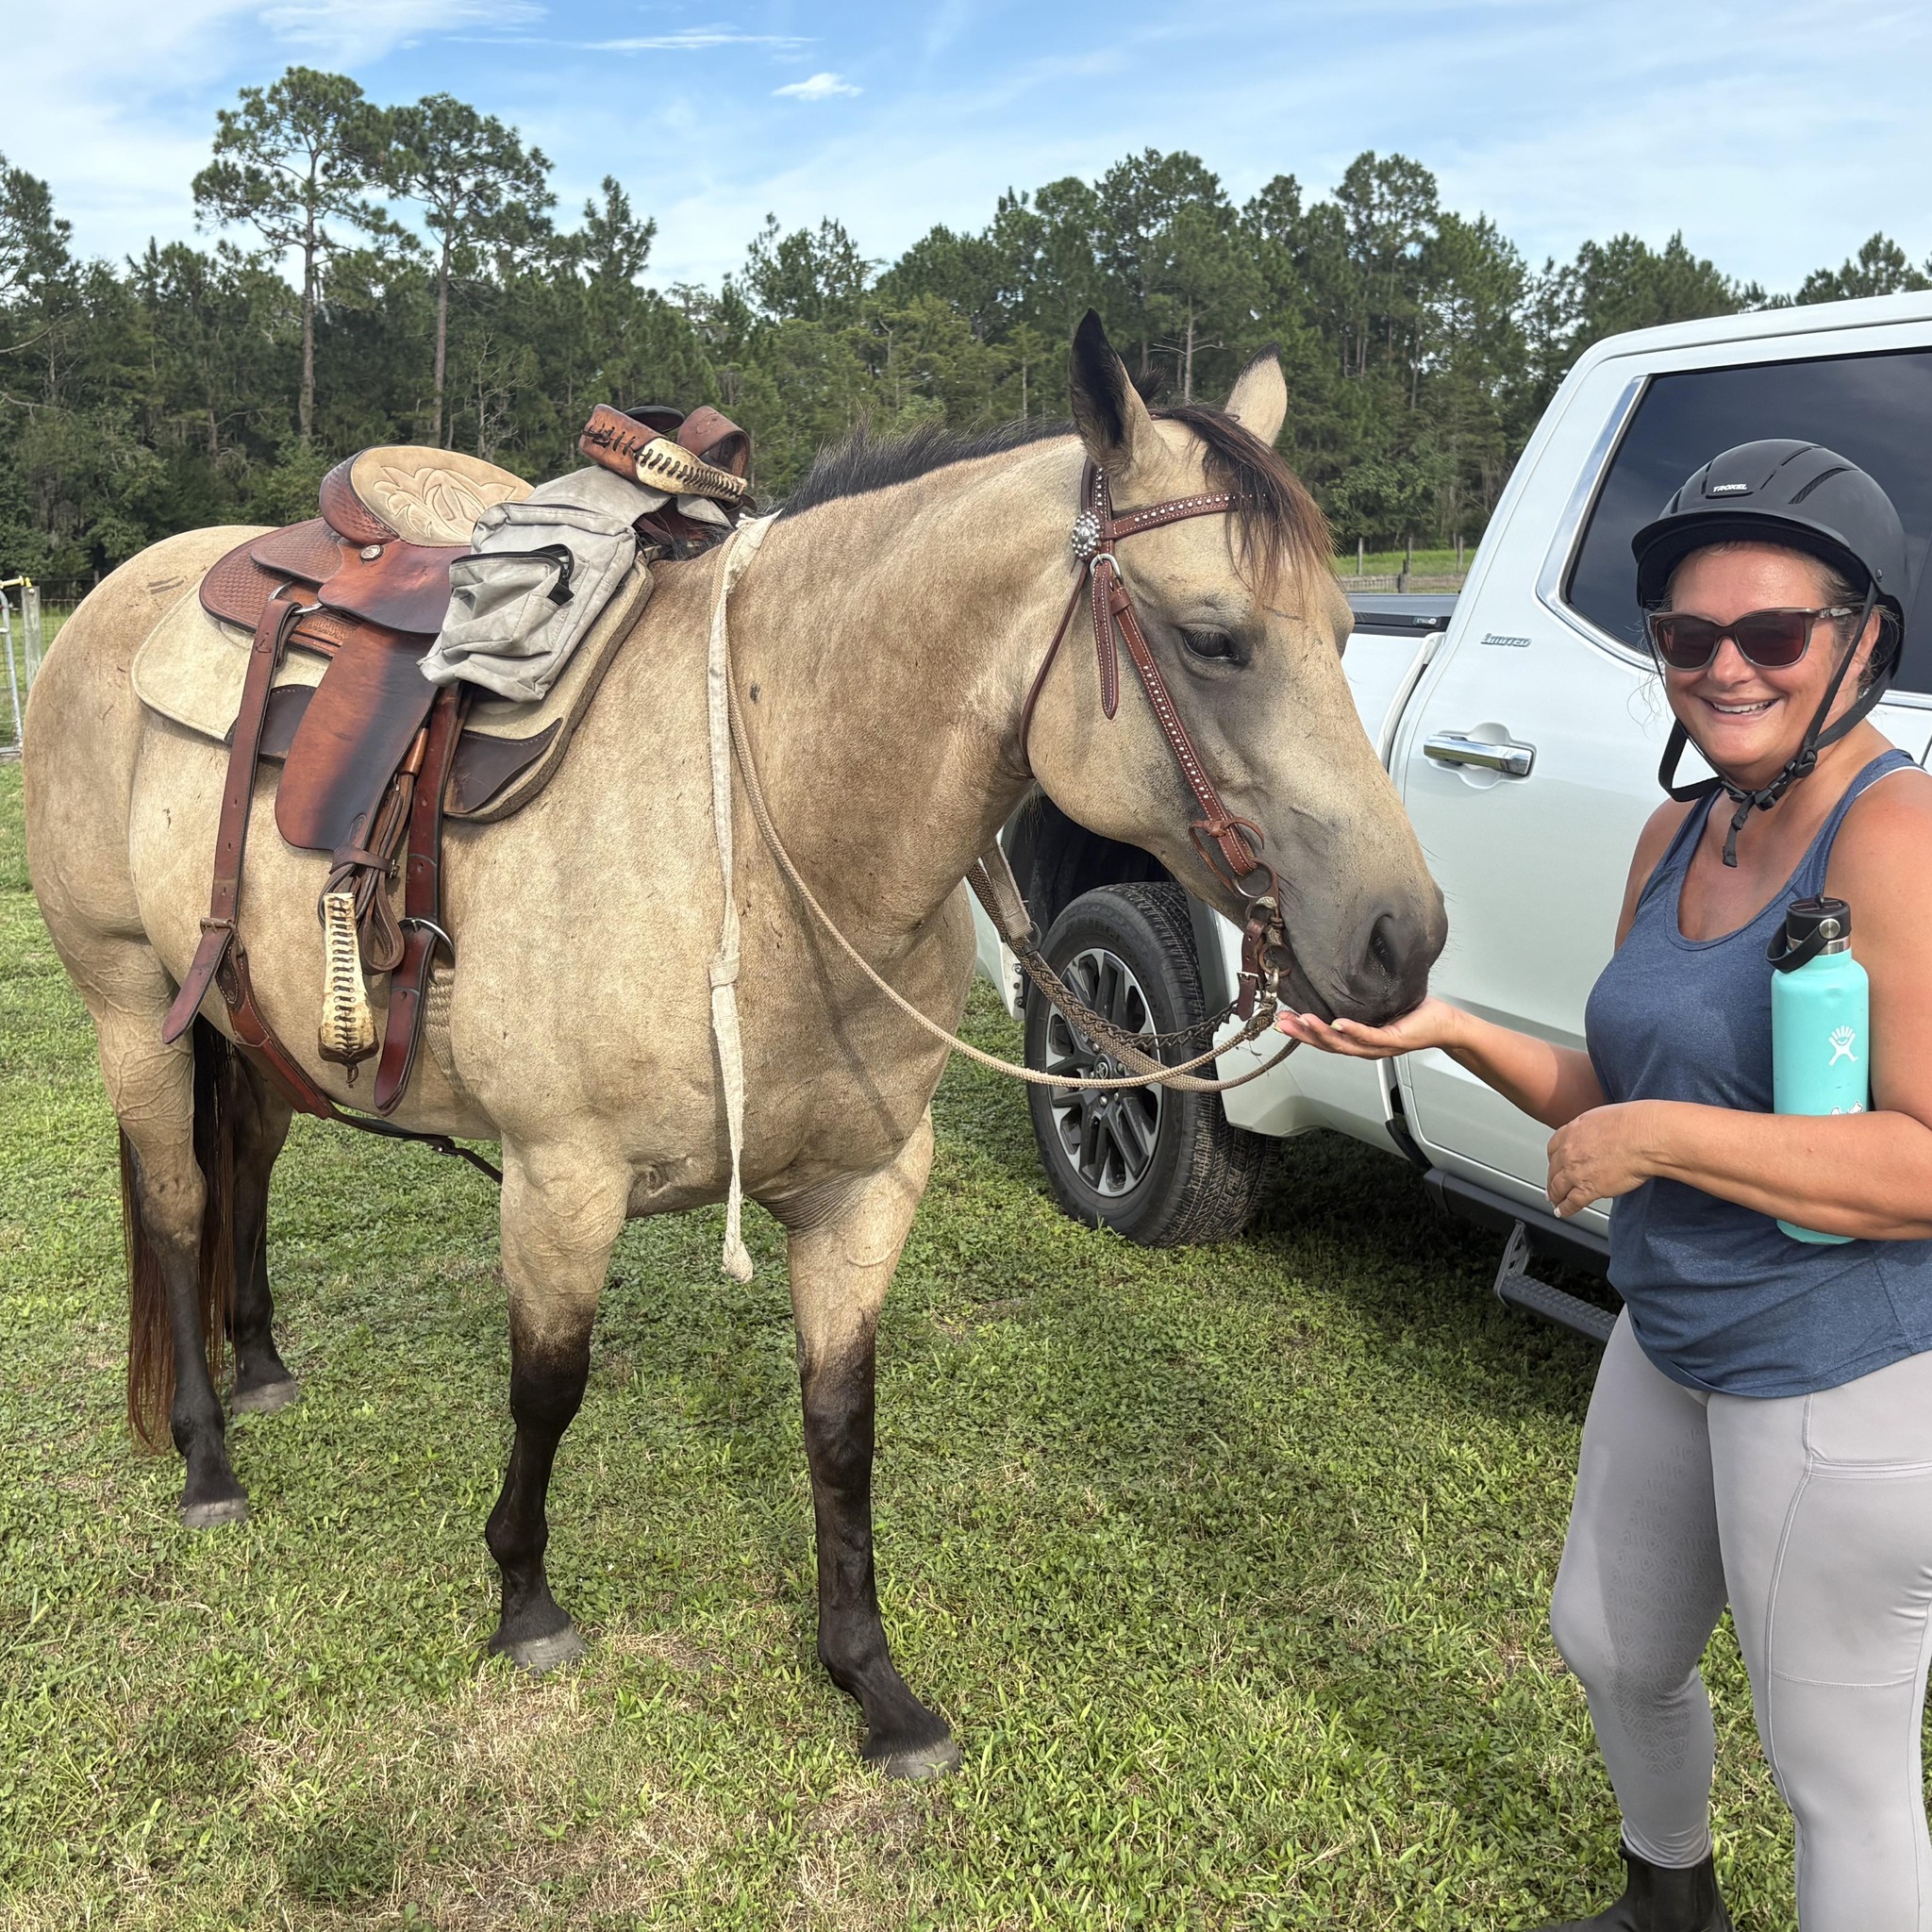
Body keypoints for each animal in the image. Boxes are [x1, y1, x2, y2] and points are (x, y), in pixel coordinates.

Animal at [22, 315, 1445, 1776]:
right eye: (1214, 639)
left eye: (1347, 631)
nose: (1402, 939)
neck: (778, 834)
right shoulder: (560, 1181)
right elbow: (548, 1388)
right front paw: (525, 1600)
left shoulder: (864, 1188)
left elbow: (840, 1422)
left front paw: (870, 1678)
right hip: (133, 1004)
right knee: (177, 1205)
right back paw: (206, 1457)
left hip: (250, 1024)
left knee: (242, 1165)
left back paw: (259, 1369)